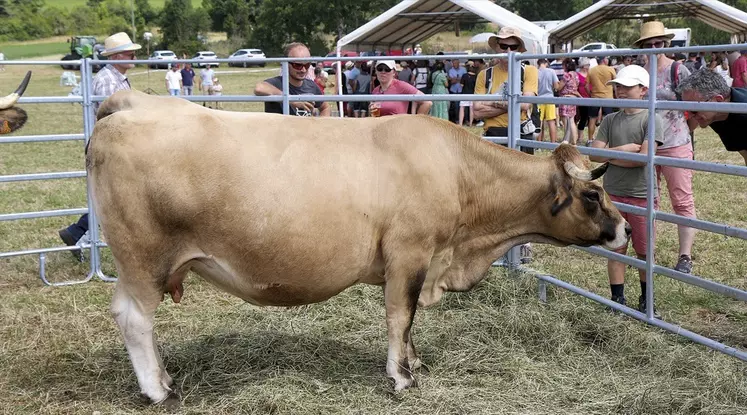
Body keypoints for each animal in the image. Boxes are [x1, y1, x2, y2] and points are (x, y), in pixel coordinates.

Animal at [87, 90, 632, 406]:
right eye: (592, 195)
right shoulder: (410, 254)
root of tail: (134, 103)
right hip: (142, 259)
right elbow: (400, 316)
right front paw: (401, 377)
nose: (625, 229)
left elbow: (410, 323)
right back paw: (158, 389)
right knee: (134, 319)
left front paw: (414, 362)